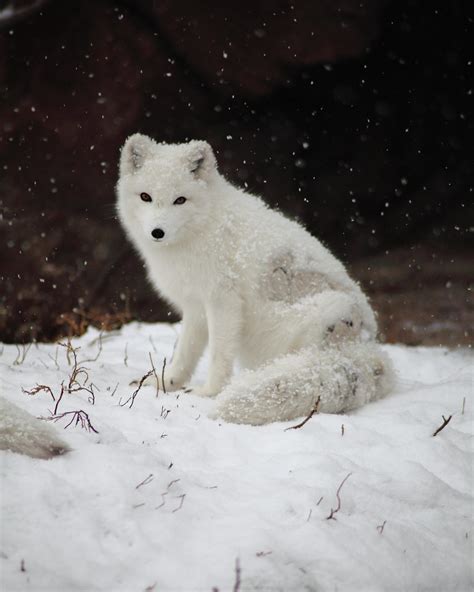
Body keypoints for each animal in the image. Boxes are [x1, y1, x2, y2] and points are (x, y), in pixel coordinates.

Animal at [116, 134, 394, 424]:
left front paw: (208, 393)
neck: (202, 228)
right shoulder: (195, 307)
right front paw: (166, 383)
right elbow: (185, 353)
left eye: (180, 200)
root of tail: (370, 348)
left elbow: (218, 356)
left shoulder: (223, 301)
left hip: (328, 310)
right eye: (146, 197)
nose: (157, 232)